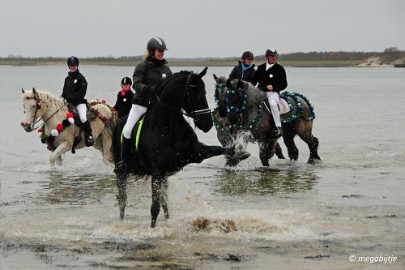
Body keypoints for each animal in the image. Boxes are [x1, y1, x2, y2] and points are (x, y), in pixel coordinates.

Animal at [112, 68, 232, 228]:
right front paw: (152, 229)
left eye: (205, 92)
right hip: (122, 172)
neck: (167, 126)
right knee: (123, 199)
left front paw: (240, 152)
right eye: (195, 94)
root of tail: (119, 122)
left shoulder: (196, 153)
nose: (207, 124)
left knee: (164, 202)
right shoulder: (157, 172)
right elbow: (154, 207)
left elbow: (218, 149)